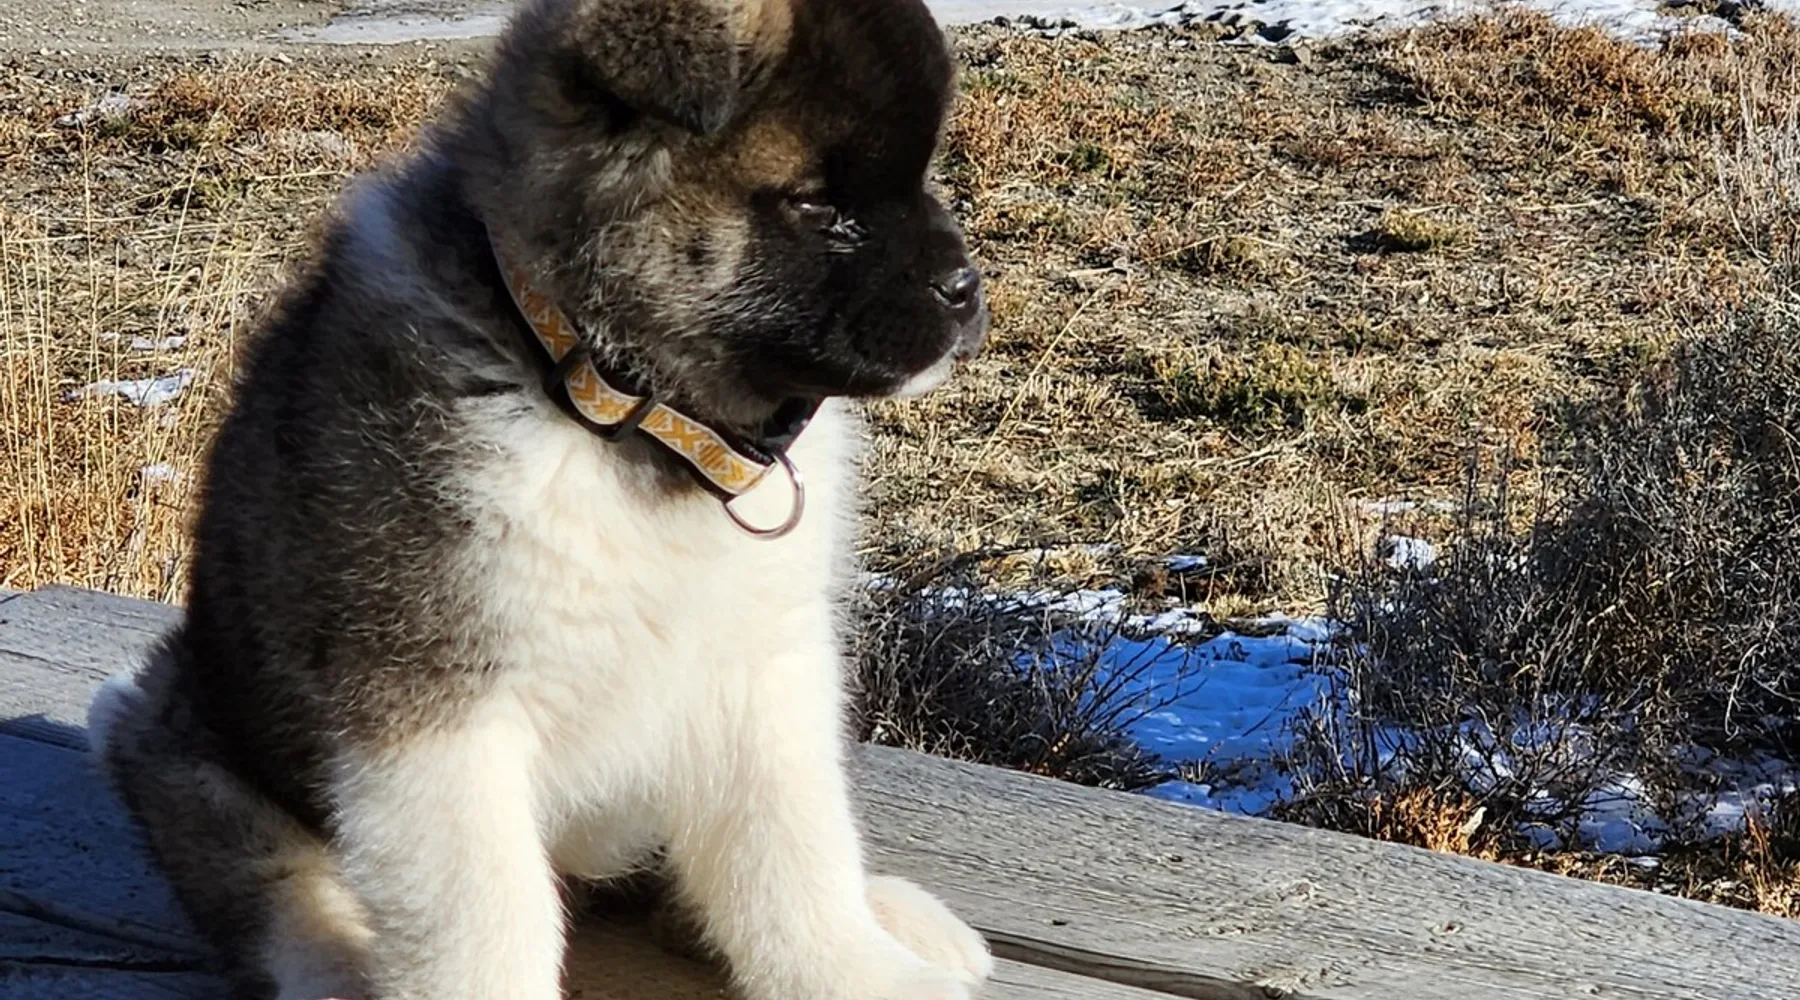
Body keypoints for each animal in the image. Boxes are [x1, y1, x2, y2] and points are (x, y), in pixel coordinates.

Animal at [83, 0, 992, 997]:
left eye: (921, 174)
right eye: (819, 206)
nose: (965, 290)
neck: (619, 410)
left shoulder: (764, 662)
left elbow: (791, 848)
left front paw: (856, 965)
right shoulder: (431, 711)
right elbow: (488, 916)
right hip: (182, 749)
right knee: (283, 891)